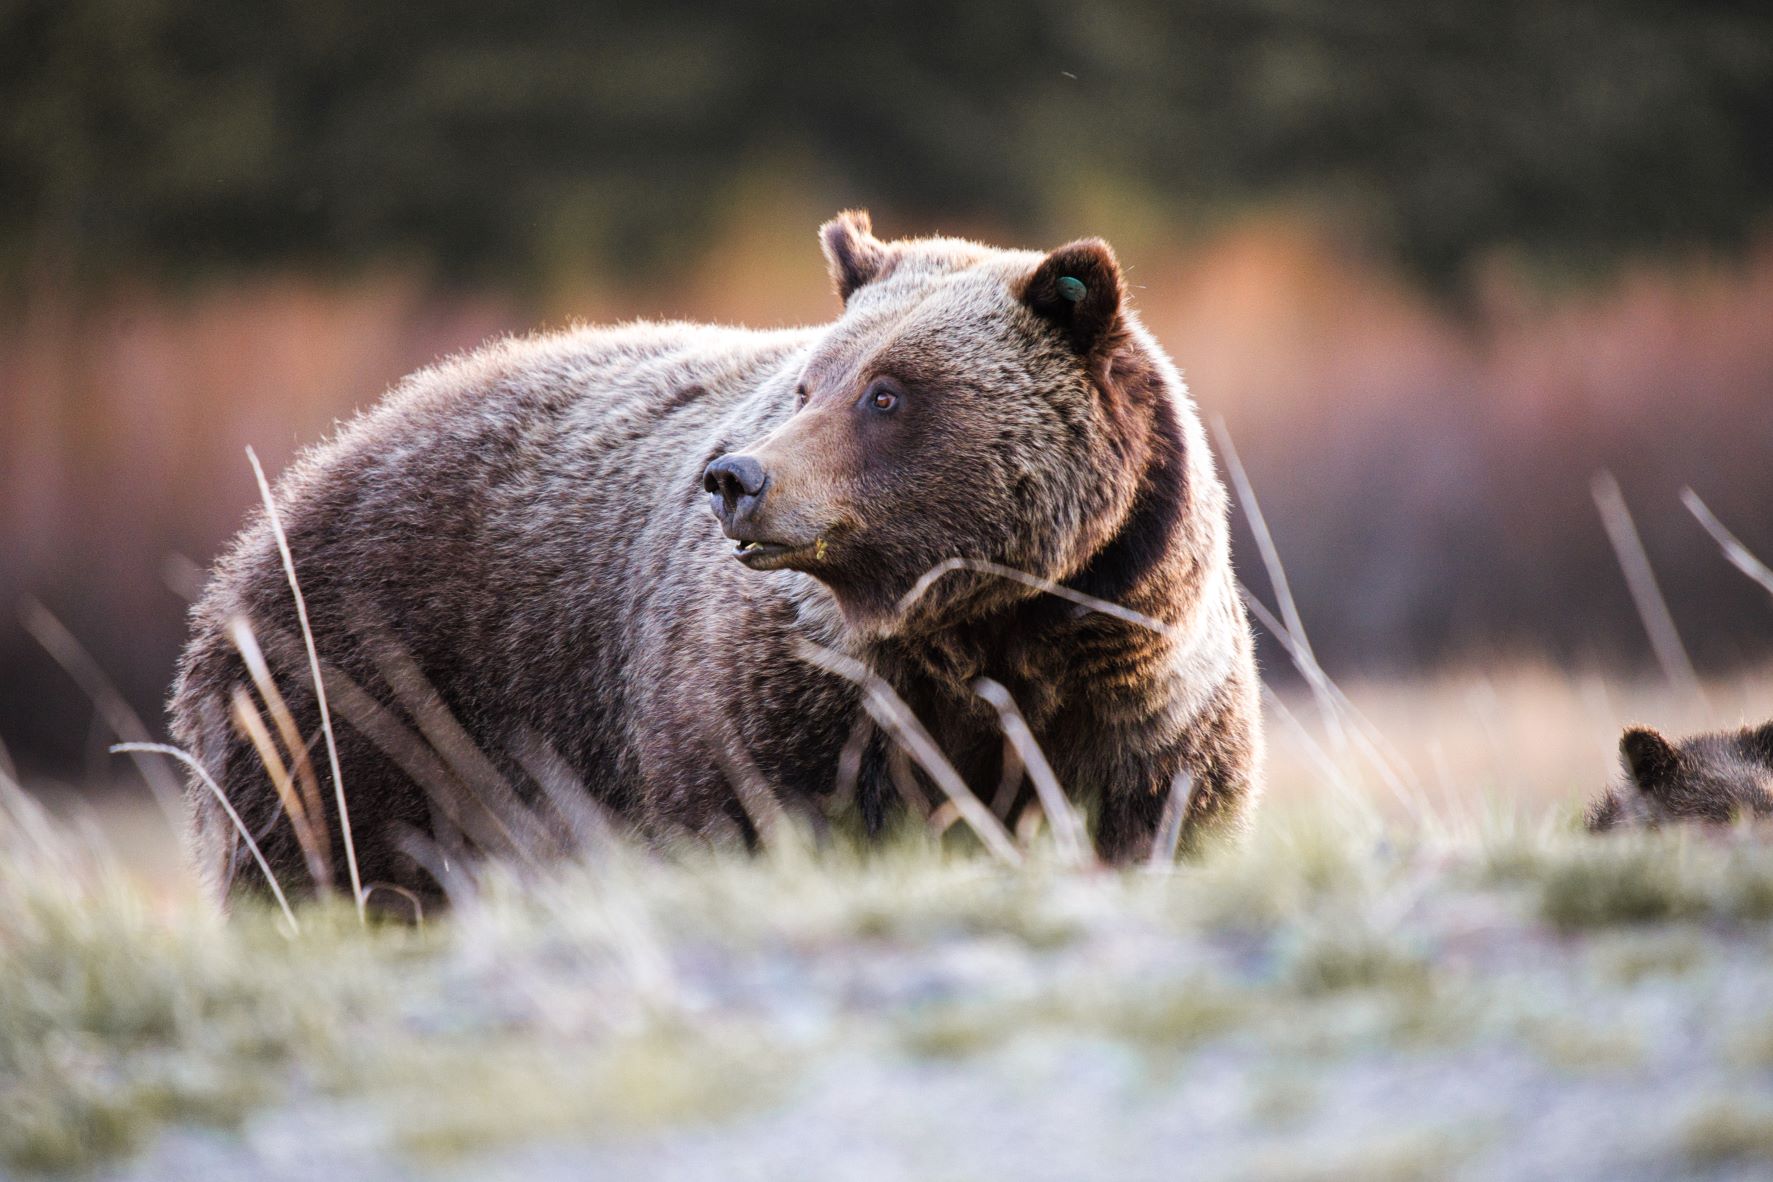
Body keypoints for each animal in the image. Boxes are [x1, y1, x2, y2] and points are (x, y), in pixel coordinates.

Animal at [169, 210, 1263, 904]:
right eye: (811, 383)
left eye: (888, 393)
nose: (738, 476)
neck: (985, 622)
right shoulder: (790, 704)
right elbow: (758, 812)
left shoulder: (1134, 696)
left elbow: (1154, 816)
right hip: (365, 697)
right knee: (332, 862)